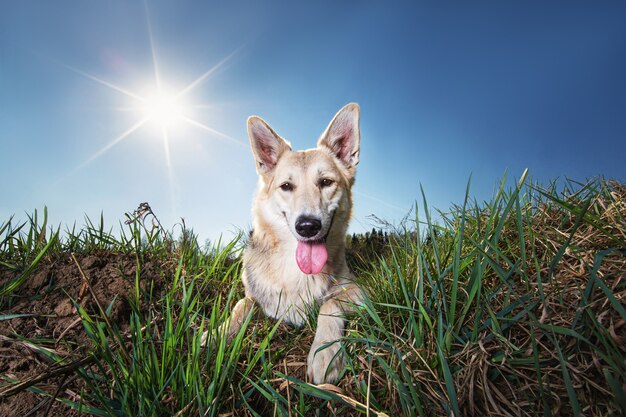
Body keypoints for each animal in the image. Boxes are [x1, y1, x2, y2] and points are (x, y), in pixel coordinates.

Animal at [222, 102, 364, 382]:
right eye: (286, 186)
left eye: (326, 182)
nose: (307, 226)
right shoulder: (253, 296)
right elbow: (240, 306)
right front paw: (217, 335)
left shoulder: (361, 291)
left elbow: (330, 303)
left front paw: (325, 353)